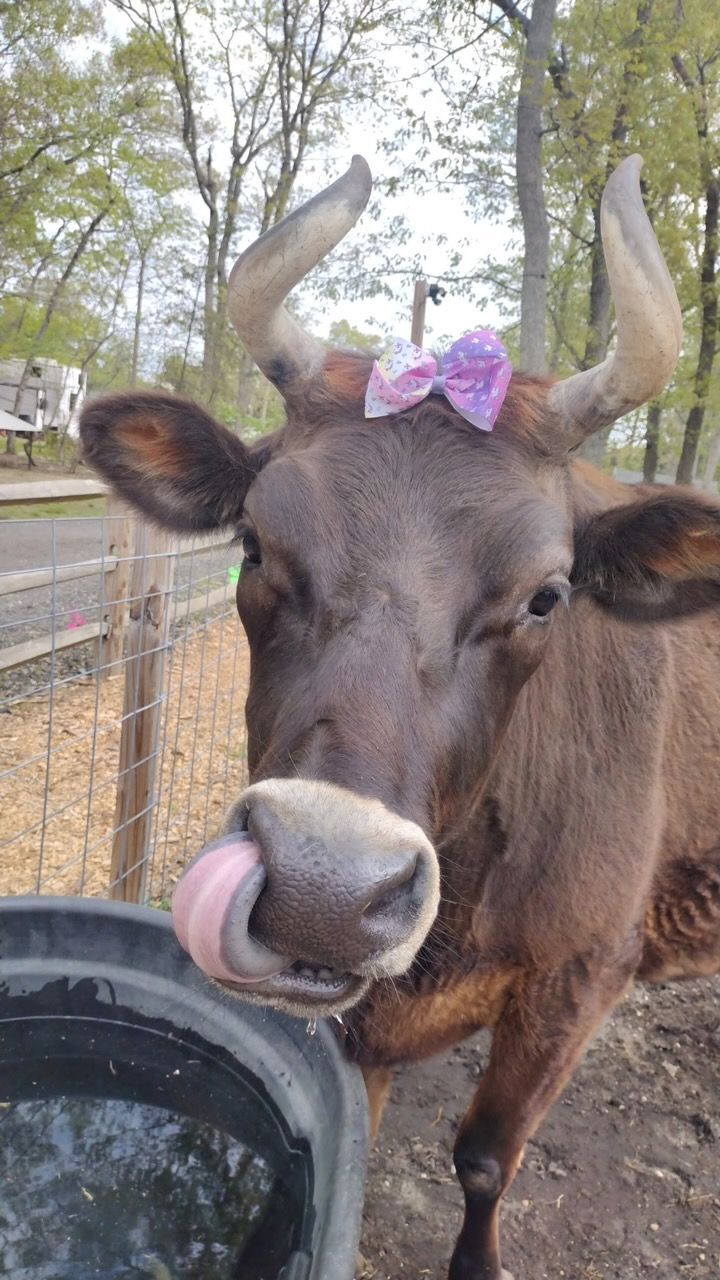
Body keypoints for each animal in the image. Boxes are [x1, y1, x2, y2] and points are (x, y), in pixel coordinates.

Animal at [79, 154, 720, 1280]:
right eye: (253, 540)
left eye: (548, 593)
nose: (322, 891)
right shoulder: (356, 1021)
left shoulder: (583, 978)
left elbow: (484, 1157)